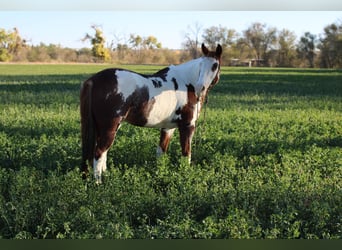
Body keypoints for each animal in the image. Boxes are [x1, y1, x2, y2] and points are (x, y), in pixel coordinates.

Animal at [81, 43, 223, 184]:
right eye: (201, 64)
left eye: (214, 65)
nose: (200, 88)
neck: (186, 83)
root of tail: (94, 80)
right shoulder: (187, 126)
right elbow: (186, 153)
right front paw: (185, 175)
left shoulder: (168, 128)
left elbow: (161, 151)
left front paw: (159, 173)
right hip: (109, 128)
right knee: (99, 153)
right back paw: (98, 183)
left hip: (103, 128)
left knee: (101, 153)